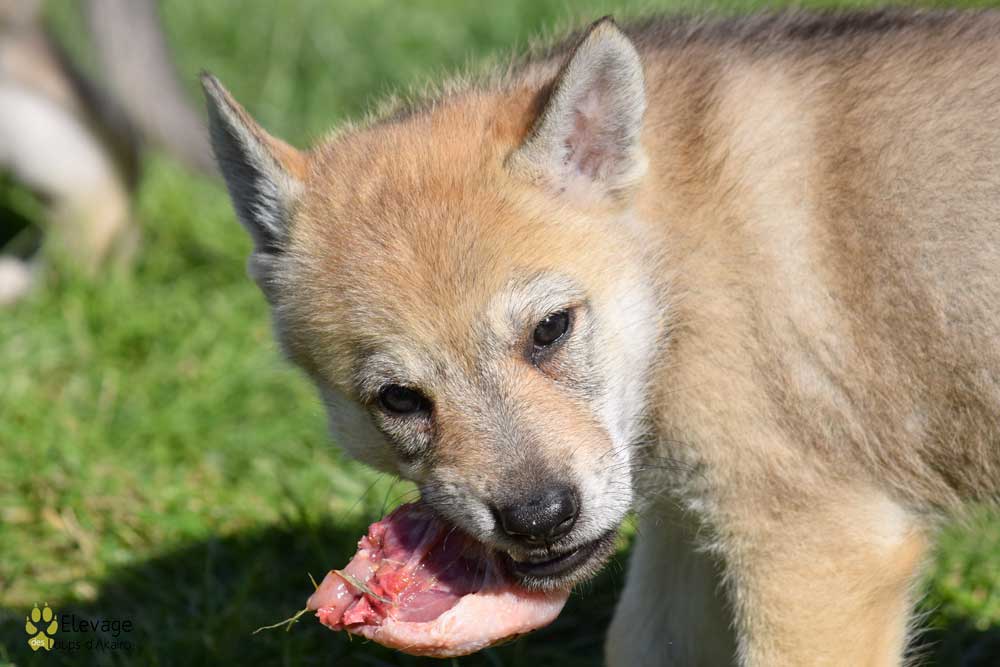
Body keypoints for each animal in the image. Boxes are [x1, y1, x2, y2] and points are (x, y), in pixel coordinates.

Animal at [202, 10, 1000, 666]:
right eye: (397, 398)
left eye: (550, 329)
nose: (538, 521)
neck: (674, 260)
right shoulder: (686, 530)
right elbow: (636, 641)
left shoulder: (820, 548)